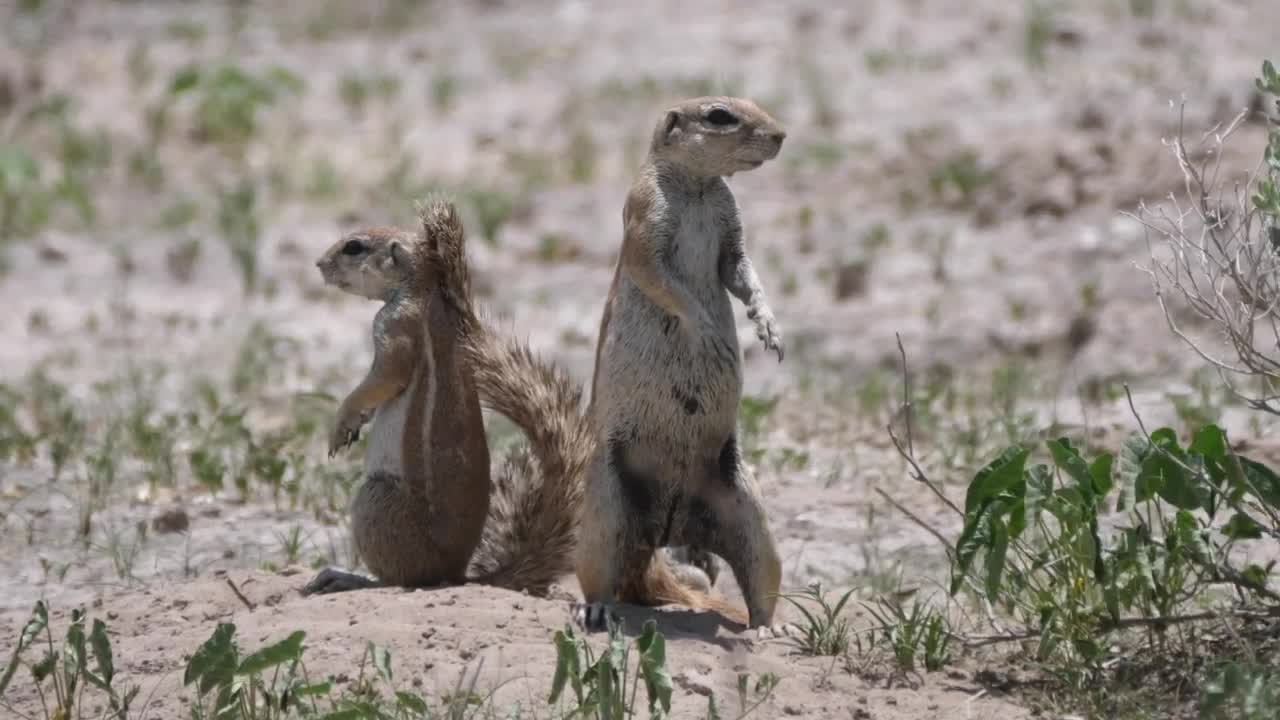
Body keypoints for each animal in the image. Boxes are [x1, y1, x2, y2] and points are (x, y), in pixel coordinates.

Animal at [573, 96, 791, 636]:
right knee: (596, 576)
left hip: (749, 514)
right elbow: (661, 278)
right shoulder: (644, 214)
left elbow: (741, 271)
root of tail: (663, 530)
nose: (781, 135)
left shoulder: (730, 226)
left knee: (761, 580)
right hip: (604, 511)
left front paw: (769, 326)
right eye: (719, 115)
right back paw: (596, 609)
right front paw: (708, 330)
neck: (698, 187)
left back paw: (769, 626)